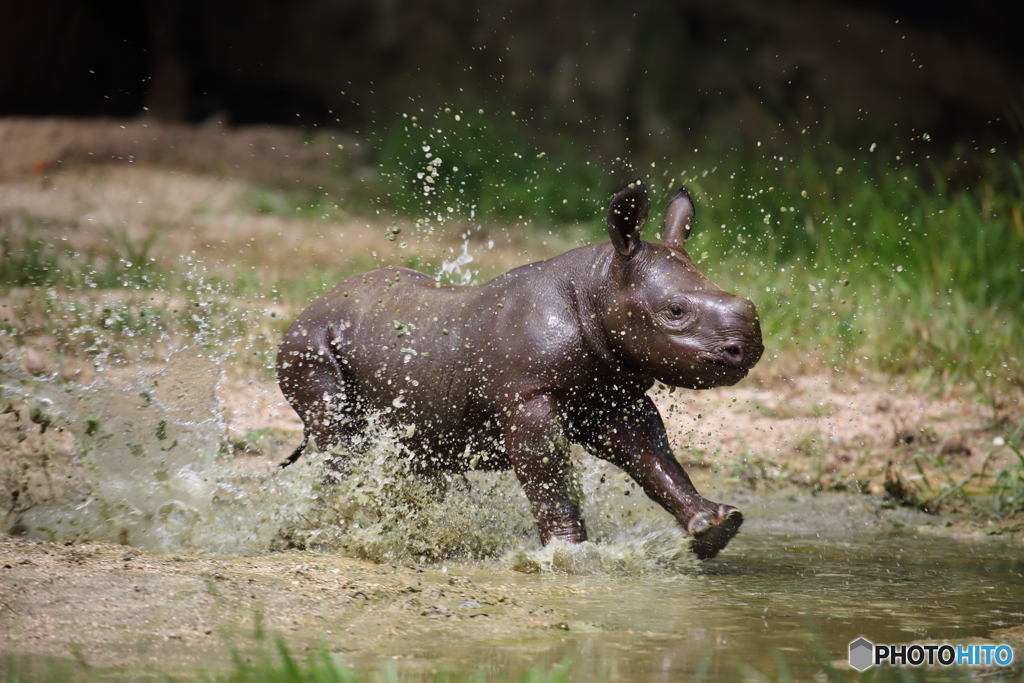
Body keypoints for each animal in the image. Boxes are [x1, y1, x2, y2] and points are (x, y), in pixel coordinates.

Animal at [278, 179, 761, 557]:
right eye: (675, 311)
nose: (748, 349)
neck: (599, 283)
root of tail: (306, 309)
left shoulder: (611, 395)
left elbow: (651, 454)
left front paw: (714, 527)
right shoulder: (529, 395)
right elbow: (545, 469)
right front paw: (571, 554)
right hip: (309, 344)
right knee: (340, 437)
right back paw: (325, 531)